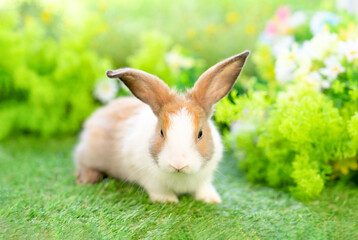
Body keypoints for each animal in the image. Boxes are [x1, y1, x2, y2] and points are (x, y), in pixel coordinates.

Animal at [74, 50, 250, 202]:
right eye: (161, 132)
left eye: (200, 133)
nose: (178, 164)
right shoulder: (149, 178)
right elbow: (159, 190)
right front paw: (168, 200)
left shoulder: (204, 178)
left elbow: (203, 188)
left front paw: (211, 199)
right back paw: (88, 178)